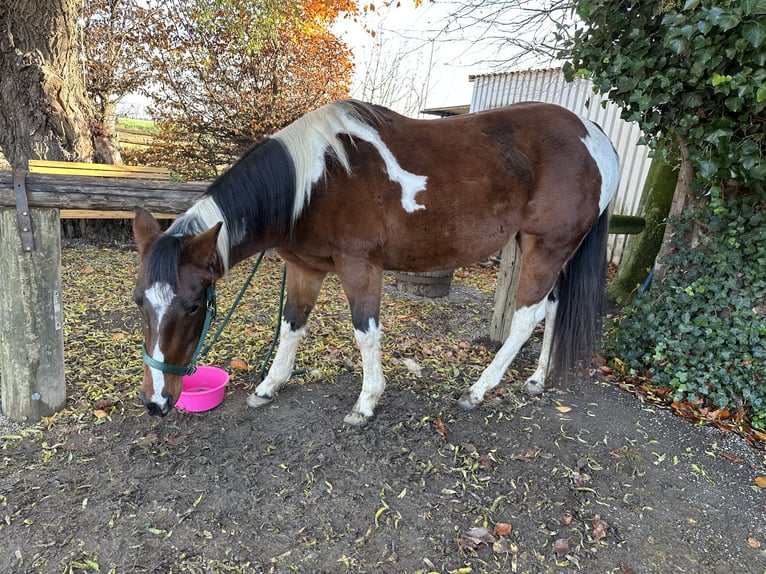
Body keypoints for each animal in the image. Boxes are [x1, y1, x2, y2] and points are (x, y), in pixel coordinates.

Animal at [132, 99, 619, 425]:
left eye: (194, 306)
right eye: (139, 301)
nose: (155, 402)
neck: (315, 180)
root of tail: (595, 134)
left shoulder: (359, 265)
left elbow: (365, 332)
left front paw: (366, 403)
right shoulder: (305, 267)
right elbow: (291, 326)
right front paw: (269, 386)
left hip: (546, 246)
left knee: (525, 318)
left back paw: (478, 390)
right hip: (543, 247)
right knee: (553, 307)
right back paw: (536, 380)